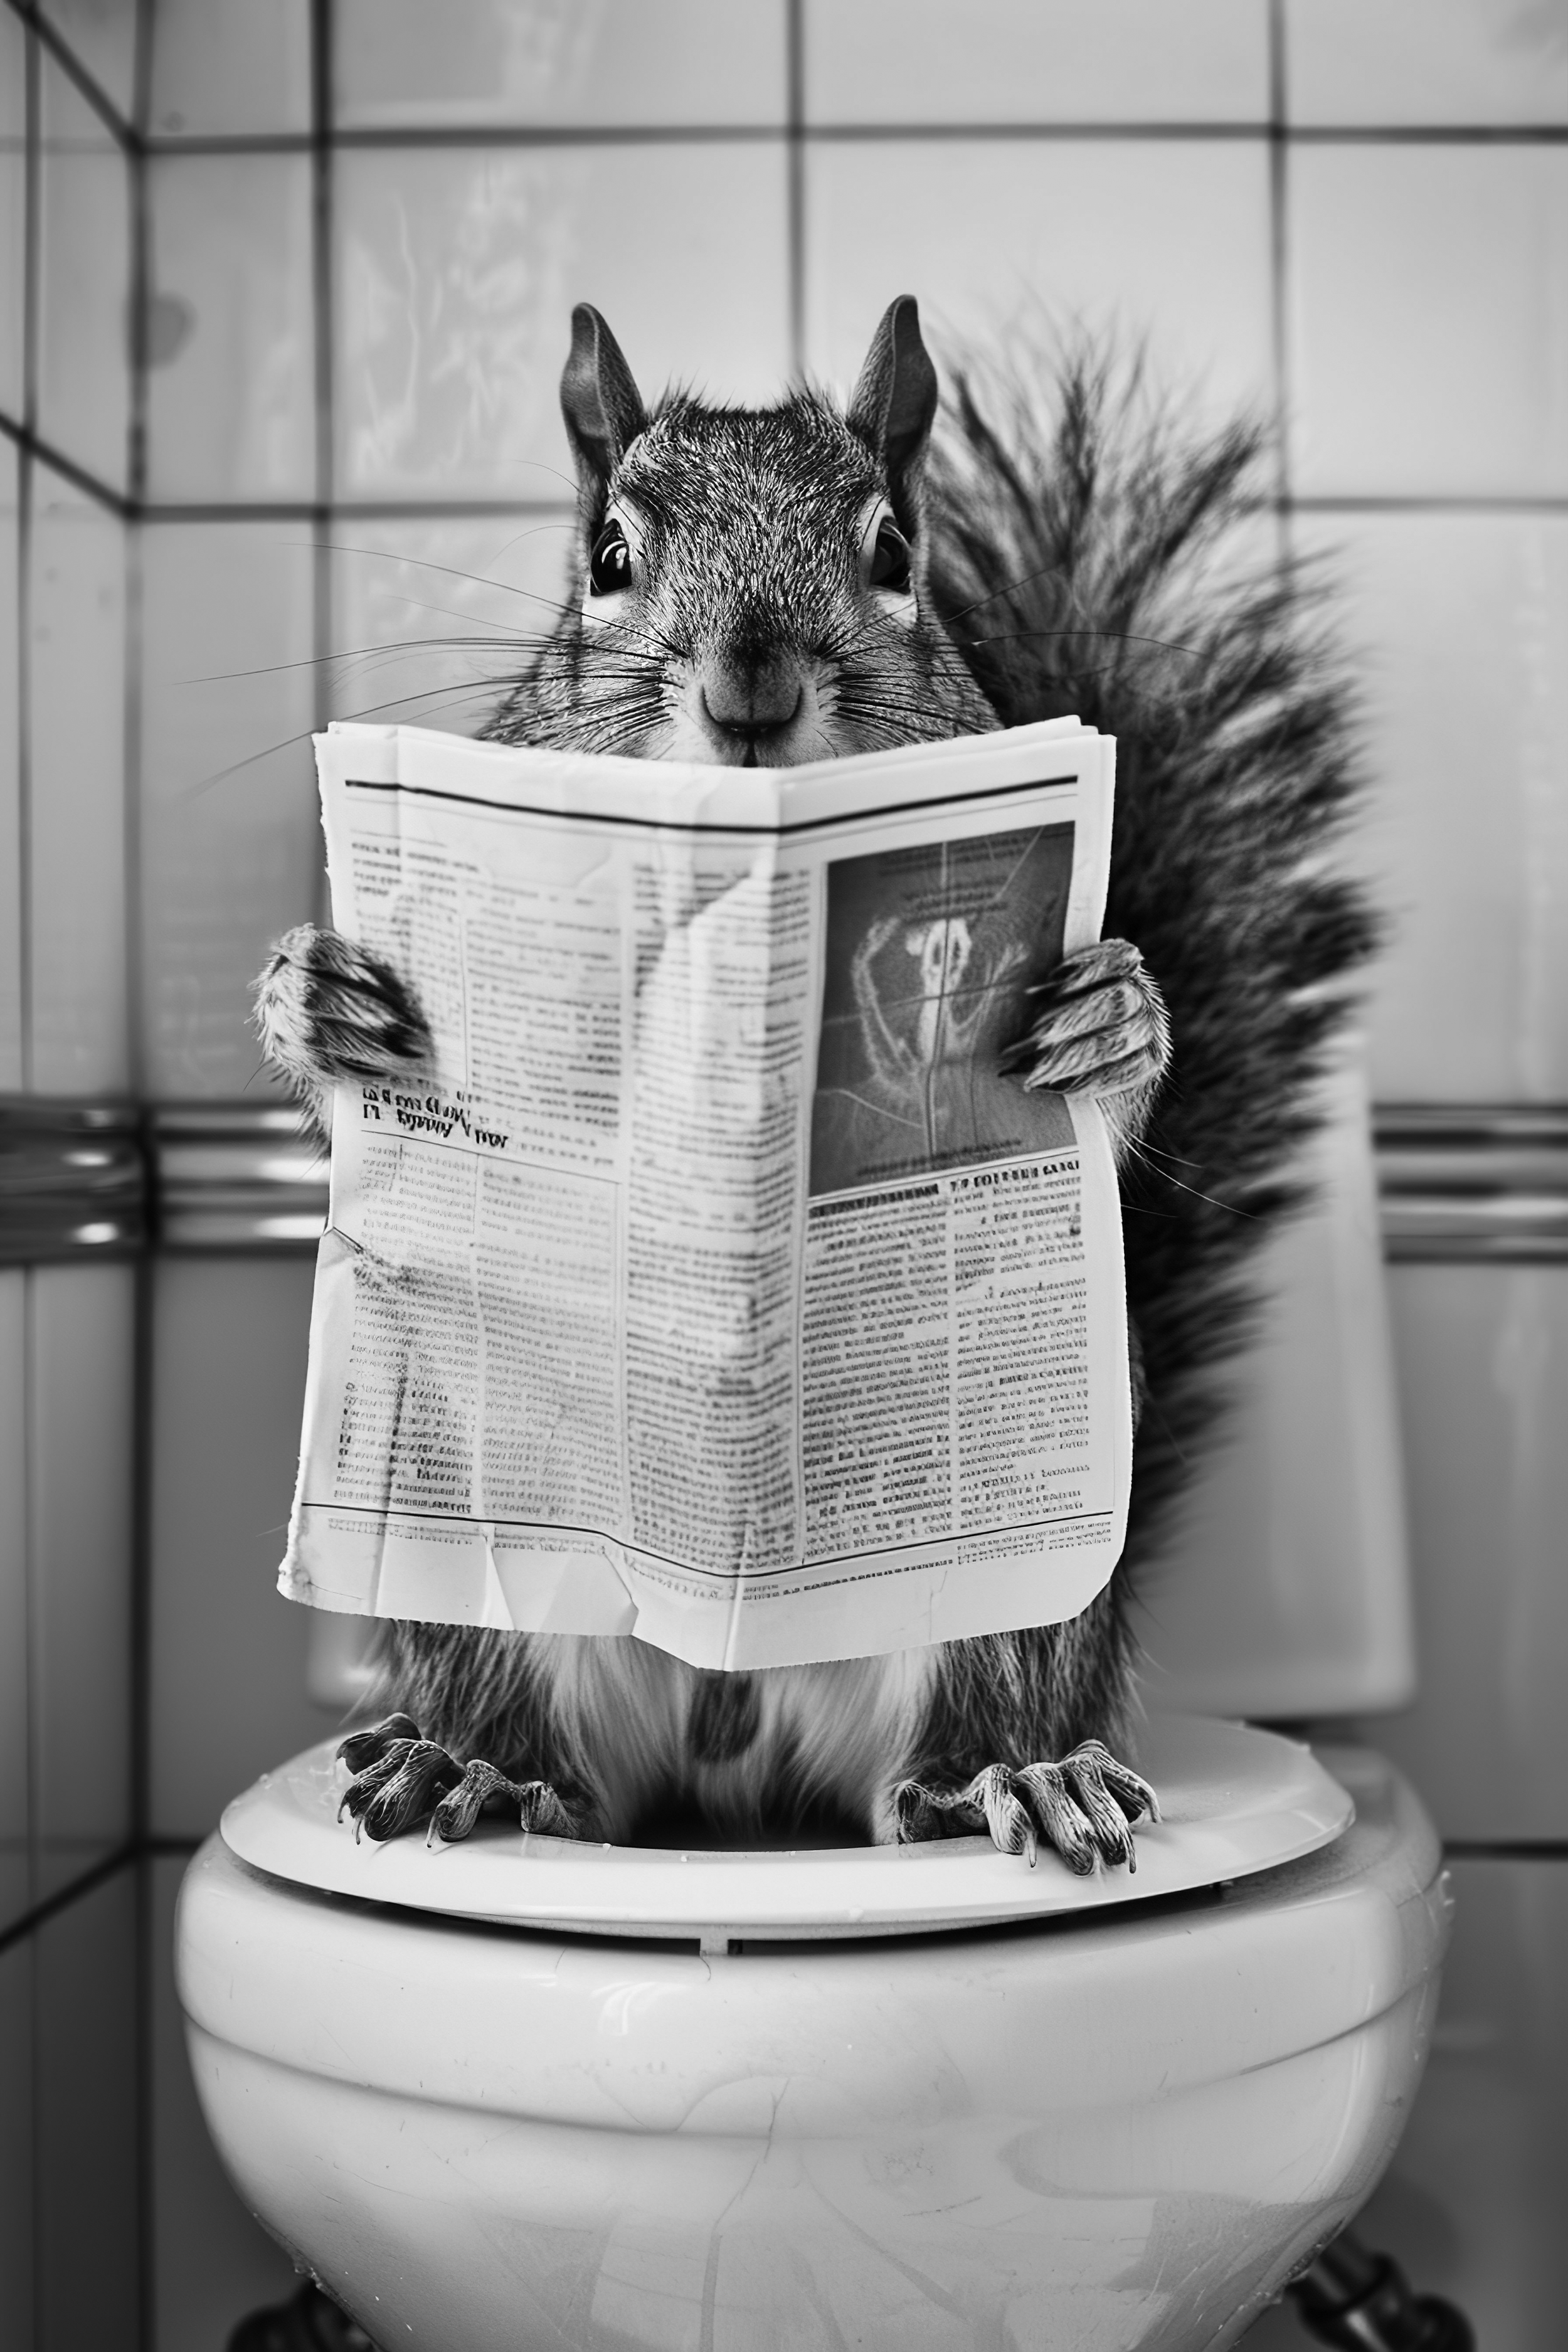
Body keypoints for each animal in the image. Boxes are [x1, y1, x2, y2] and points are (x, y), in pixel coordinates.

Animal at [255, 296, 1371, 1872]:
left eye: (894, 549)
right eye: (607, 553)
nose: (751, 683)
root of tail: (733, 1724)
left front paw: (1113, 1020)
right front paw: (313, 1000)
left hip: (1008, 1570)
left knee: (957, 1731)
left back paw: (1010, 1773)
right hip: (472, 1521)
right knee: (538, 1734)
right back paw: (473, 1760)